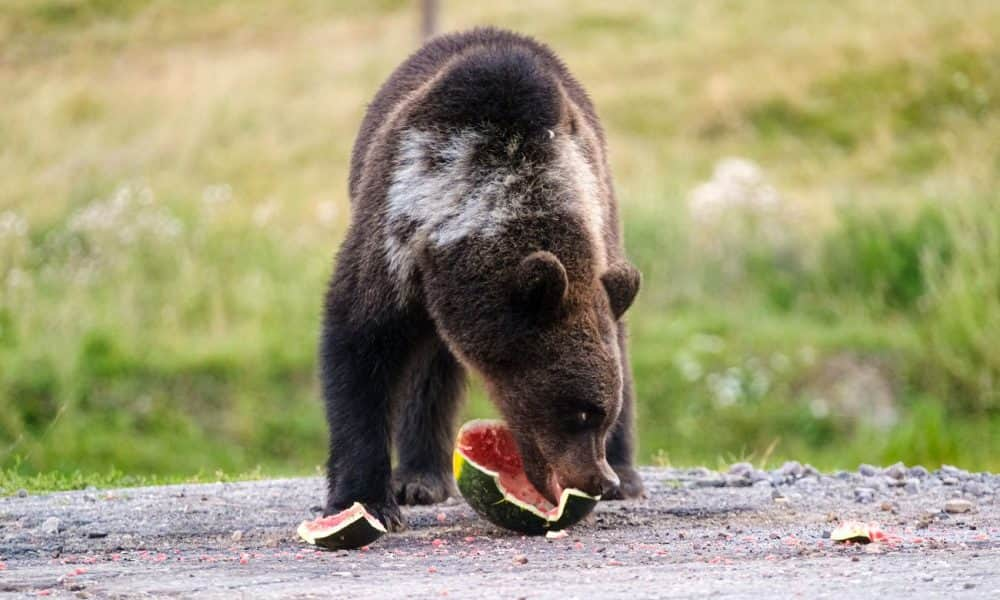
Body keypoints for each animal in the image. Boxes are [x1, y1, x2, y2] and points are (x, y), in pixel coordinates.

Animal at [322, 27, 648, 528]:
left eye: (601, 414)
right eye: (577, 413)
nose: (598, 480)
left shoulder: (595, 225)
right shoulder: (395, 231)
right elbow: (360, 345)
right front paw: (365, 498)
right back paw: (419, 478)